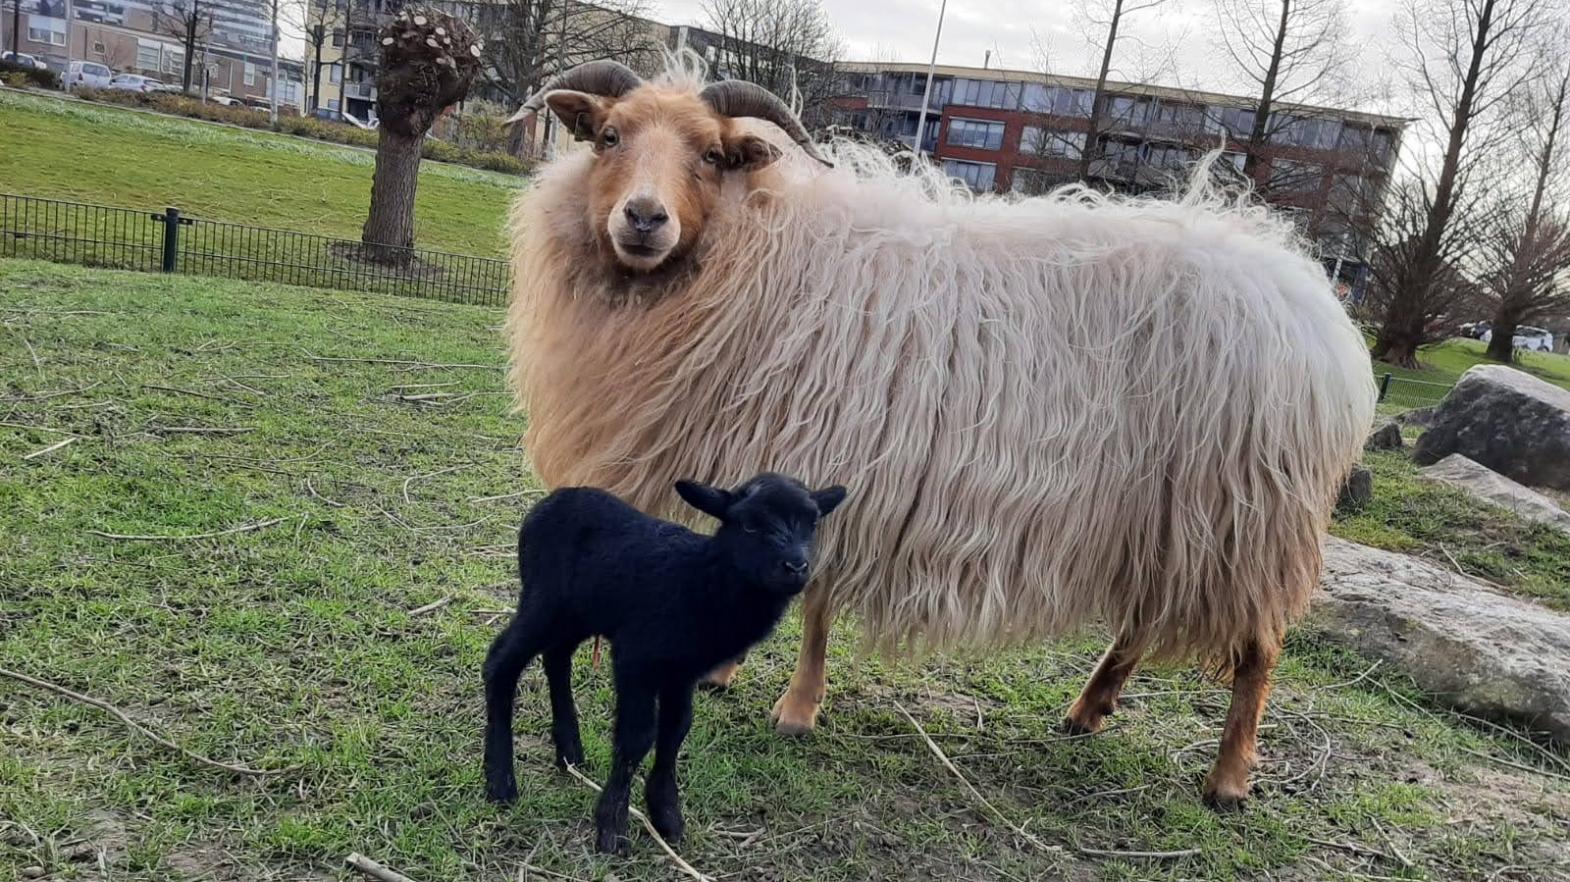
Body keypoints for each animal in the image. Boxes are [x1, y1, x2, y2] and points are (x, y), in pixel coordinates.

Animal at [480, 470, 847, 847]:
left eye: (812, 523)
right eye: (748, 525)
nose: (796, 567)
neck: (701, 580)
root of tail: (546, 505)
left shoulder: (682, 672)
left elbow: (675, 730)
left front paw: (667, 815)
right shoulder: (635, 657)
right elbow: (637, 736)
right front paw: (612, 826)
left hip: (578, 613)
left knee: (556, 657)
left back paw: (570, 753)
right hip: (544, 600)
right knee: (501, 662)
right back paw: (500, 781)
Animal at [502, 58, 1375, 809]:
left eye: (712, 154)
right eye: (608, 137)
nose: (644, 218)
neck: (756, 248)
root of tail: (1310, 300)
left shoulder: (834, 453)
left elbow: (815, 600)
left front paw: (796, 707)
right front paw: (733, 671)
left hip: (1249, 517)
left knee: (1260, 649)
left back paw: (1227, 779)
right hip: (1172, 515)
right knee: (1141, 623)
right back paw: (1087, 710)